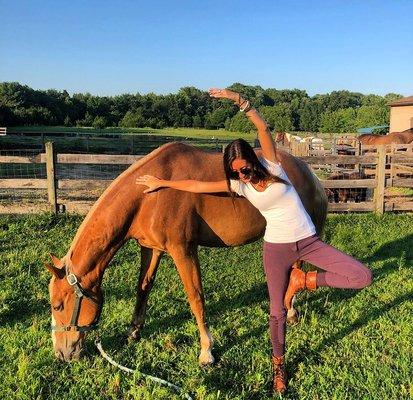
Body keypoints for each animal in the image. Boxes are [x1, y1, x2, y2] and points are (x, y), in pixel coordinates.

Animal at [45, 142, 326, 364]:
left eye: (58, 305)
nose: (61, 354)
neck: (147, 196)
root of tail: (308, 172)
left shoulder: (183, 250)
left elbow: (195, 297)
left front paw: (206, 352)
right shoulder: (151, 248)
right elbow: (143, 287)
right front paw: (134, 332)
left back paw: (291, 312)